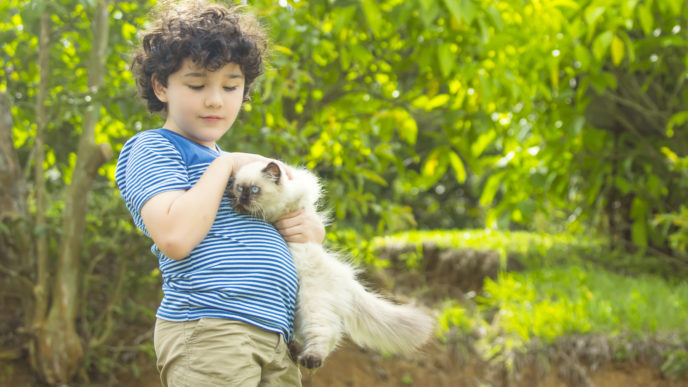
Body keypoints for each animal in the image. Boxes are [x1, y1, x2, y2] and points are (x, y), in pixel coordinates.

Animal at [231, 161, 436, 370]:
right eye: (239, 187)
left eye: (254, 190)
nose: (242, 197)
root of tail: (345, 277)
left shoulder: (290, 202)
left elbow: (268, 210)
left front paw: (241, 207)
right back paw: (297, 350)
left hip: (311, 304)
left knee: (328, 333)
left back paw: (310, 359)